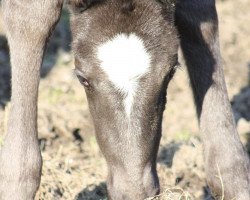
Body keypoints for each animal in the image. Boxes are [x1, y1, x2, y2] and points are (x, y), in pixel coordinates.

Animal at [0, 0, 249, 199]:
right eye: (82, 79)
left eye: (170, 73)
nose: (135, 191)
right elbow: (34, 18)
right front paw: (15, 185)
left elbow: (198, 15)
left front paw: (235, 183)